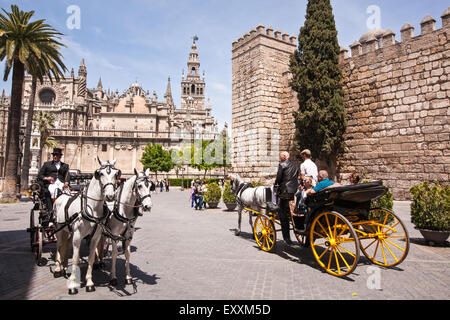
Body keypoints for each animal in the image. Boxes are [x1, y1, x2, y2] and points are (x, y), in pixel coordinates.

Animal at [52, 158, 121, 296]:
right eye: (100, 173)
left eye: (116, 174)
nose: (110, 196)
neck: (92, 207)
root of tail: (62, 194)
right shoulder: (78, 236)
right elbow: (75, 259)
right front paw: (73, 285)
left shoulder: (95, 236)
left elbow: (90, 258)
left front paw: (89, 283)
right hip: (59, 228)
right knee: (59, 246)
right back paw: (57, 269)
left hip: (69, 231)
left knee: (66, 246)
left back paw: (64, 267)